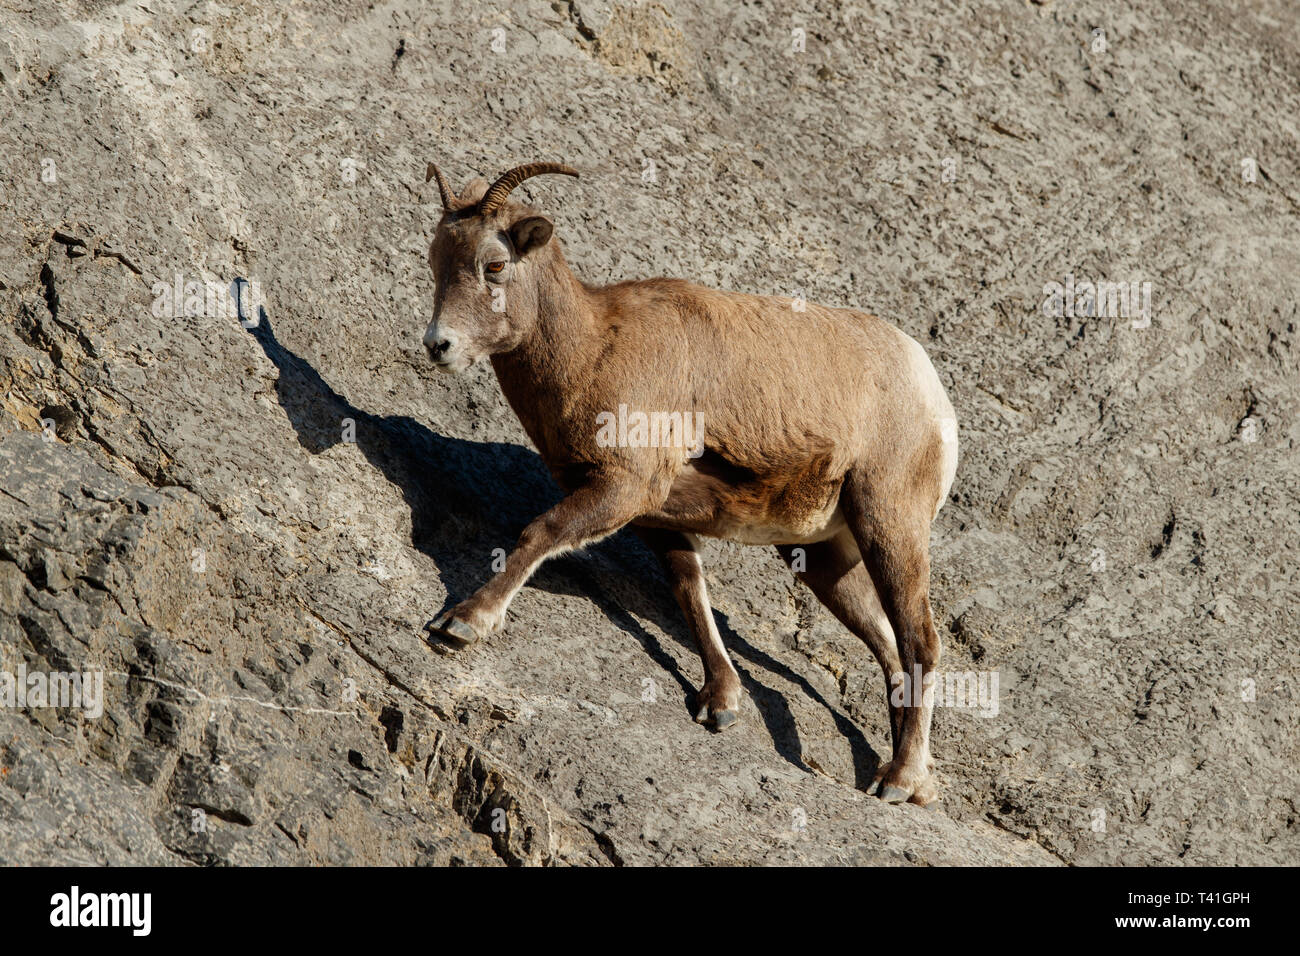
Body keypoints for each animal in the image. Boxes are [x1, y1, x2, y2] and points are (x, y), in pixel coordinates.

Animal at [421, 160, 961, 806]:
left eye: (495, 265)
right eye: (435, 259)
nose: (438, 345)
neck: (594, 346)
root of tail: (935, 400)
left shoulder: (623, 489)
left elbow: (540, 533)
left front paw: (462, 623)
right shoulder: (656, 518)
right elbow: (690, 591)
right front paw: (719, 703)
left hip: (890, 524)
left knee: (920, 642)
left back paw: (898, 782)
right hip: (826, 557)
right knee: (887, 647)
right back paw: (910, 779)